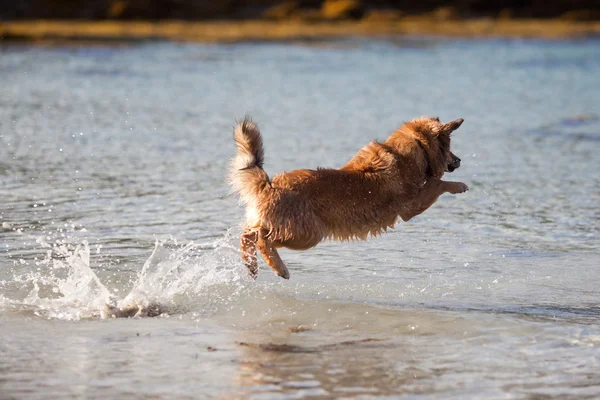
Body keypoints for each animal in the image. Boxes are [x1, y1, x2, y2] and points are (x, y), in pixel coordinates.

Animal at [230, 115, 468, 278]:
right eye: (450, 148)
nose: (459, 160)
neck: (413, 151)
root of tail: (269, 185)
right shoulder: (411, 206)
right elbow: (437, 183)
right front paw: (459, 186)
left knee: (248, 234)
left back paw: (251, 265)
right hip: (307, 234)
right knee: (262, 239)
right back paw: (279, 268)